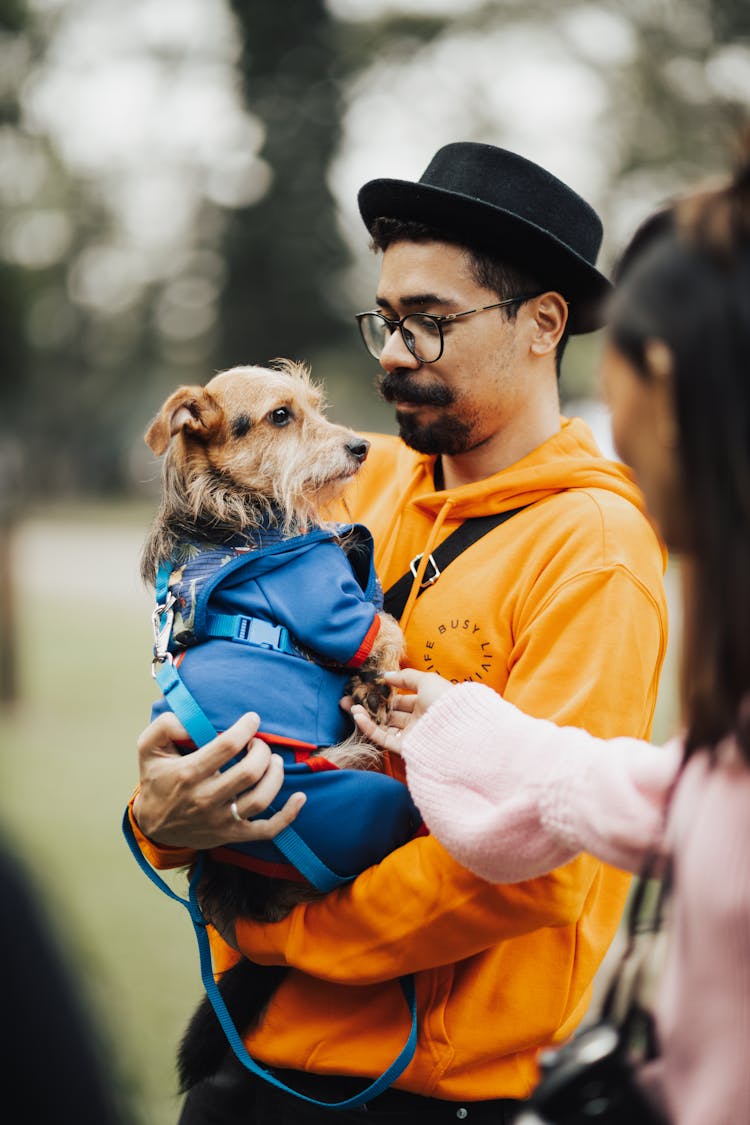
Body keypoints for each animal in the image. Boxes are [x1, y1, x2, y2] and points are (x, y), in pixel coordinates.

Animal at [139, 360, 420, 1089]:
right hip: (368, 803)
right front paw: (374, 678)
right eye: (280, 416)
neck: (233, 519)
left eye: (314, 407)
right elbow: (385, 627)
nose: (362, 448)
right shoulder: (326, 603)